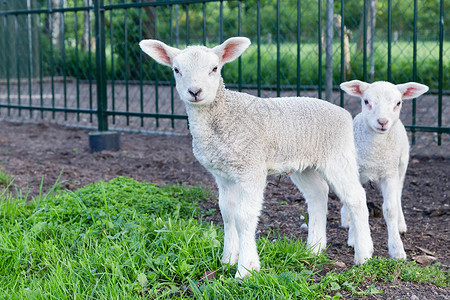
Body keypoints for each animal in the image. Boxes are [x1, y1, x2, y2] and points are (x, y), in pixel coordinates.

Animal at [140, 36, 372, 278]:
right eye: (176, 70)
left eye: (214, 68)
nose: (195, 91)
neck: (223, 116)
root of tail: (343, 112)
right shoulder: (223, 174)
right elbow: (227, 213)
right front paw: (227, 260)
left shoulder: (251, 168)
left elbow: (243, 216)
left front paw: (246, 269)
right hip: (303, 164)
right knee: (318, 193)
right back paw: (314, 249)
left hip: (338, 155)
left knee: (356, 197)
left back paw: (364, 254)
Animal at [342, 80, 428, 260]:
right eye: (366, 101)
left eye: (398, 103)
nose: (382, 122)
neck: (375, 152)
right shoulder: (357, 171)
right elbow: (356, 205)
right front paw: (354, 238)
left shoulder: (390, 173)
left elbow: (390, 209)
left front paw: (397, 250)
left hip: (402, 166)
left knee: (398, 195)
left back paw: (401, 225)